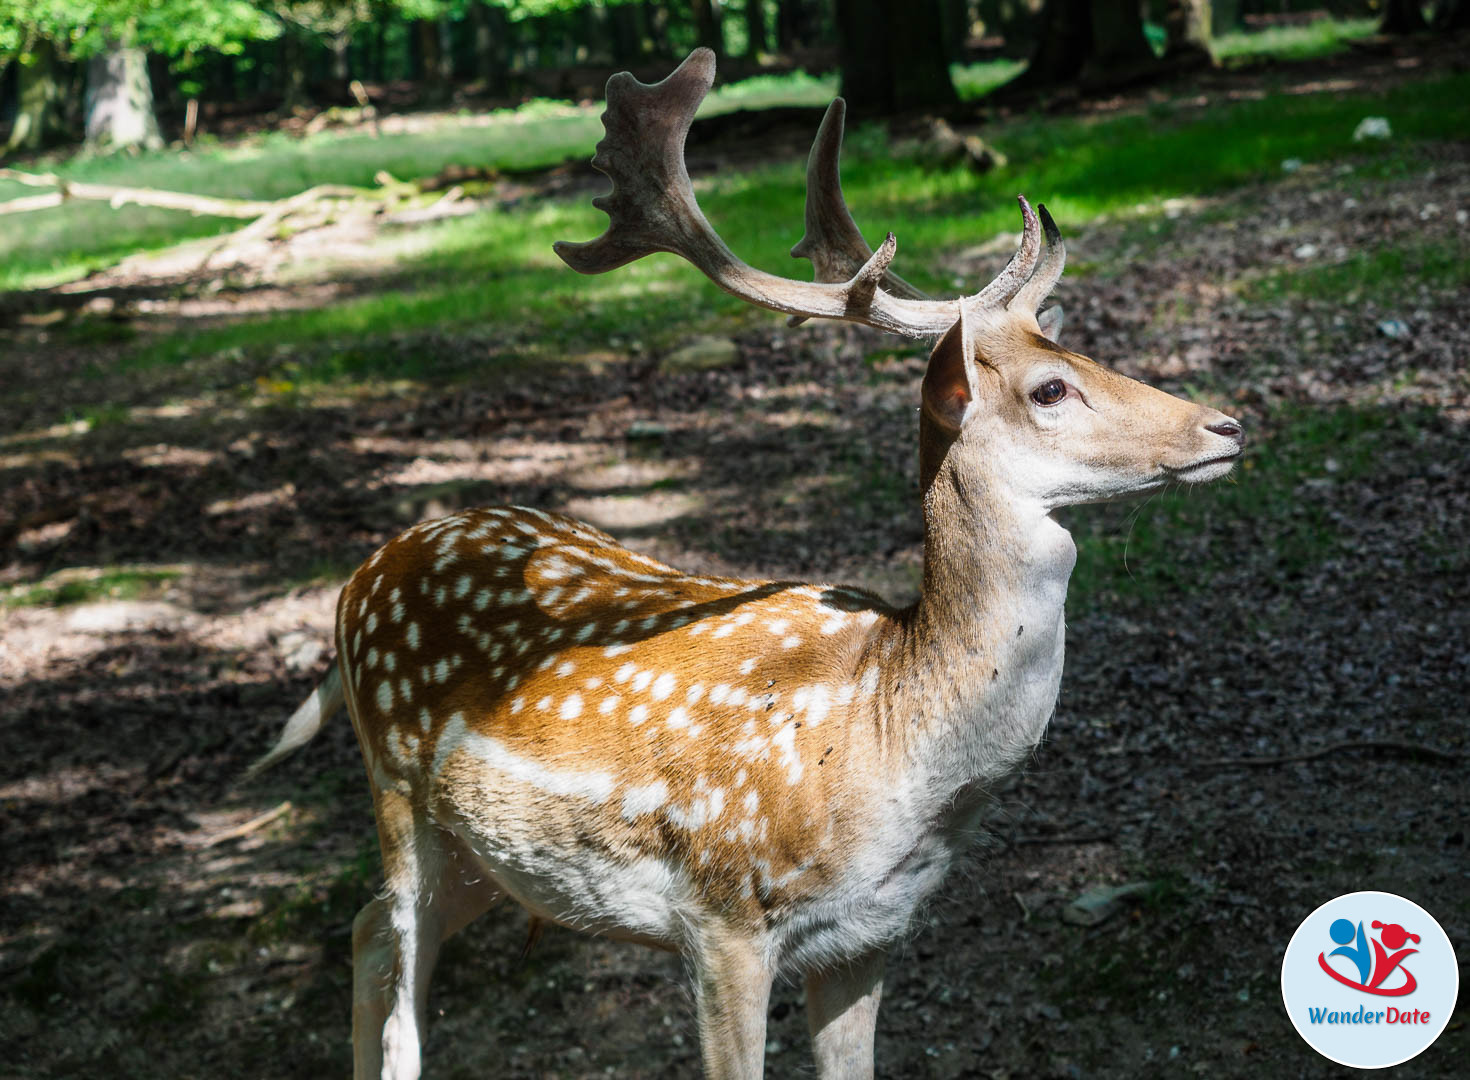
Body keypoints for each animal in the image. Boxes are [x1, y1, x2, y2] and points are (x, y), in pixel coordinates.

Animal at [249, 48, 1240, 1080]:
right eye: (1050, 388)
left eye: (1079, 348)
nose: (1227, 424)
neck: (894, 740)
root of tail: (361, 576)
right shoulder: (722, 915)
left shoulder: (871, 933)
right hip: (398, 792)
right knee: (393, 952)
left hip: (493, 858)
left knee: (368, 931)